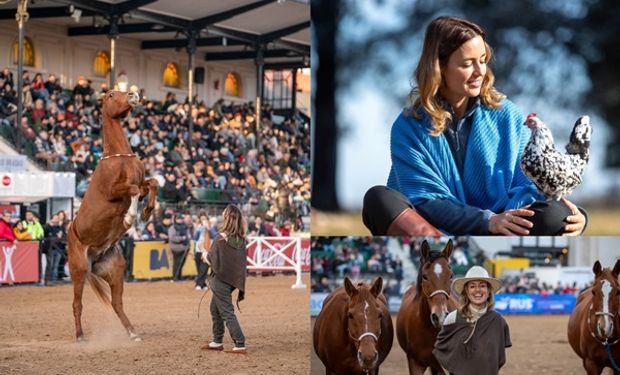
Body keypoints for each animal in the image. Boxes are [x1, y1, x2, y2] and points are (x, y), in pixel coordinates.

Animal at [67, 89, 157, 342]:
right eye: (110, 94)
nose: (133, 94)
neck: (120, 157)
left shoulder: (142, 183)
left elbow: (152, 184)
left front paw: (147, 213)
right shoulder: (114, 191)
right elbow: (134, 190)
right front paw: (130, 217)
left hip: (115, 271)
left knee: (117, 304)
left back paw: (133, 333)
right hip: (78, 270)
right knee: (77, 304)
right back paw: (80, 336)